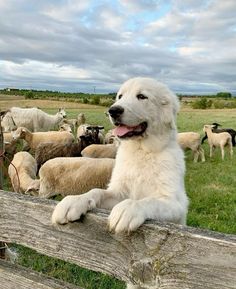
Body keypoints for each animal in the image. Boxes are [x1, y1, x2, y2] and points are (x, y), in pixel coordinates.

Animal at [51, 76, 188, 288]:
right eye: (120, 96)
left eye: (142, 96)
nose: (113, 110)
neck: (141, 151)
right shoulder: (117, 192)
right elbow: (96, 191)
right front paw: (74, 201)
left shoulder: (177, 203)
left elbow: (147, 200)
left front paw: (128, 209)